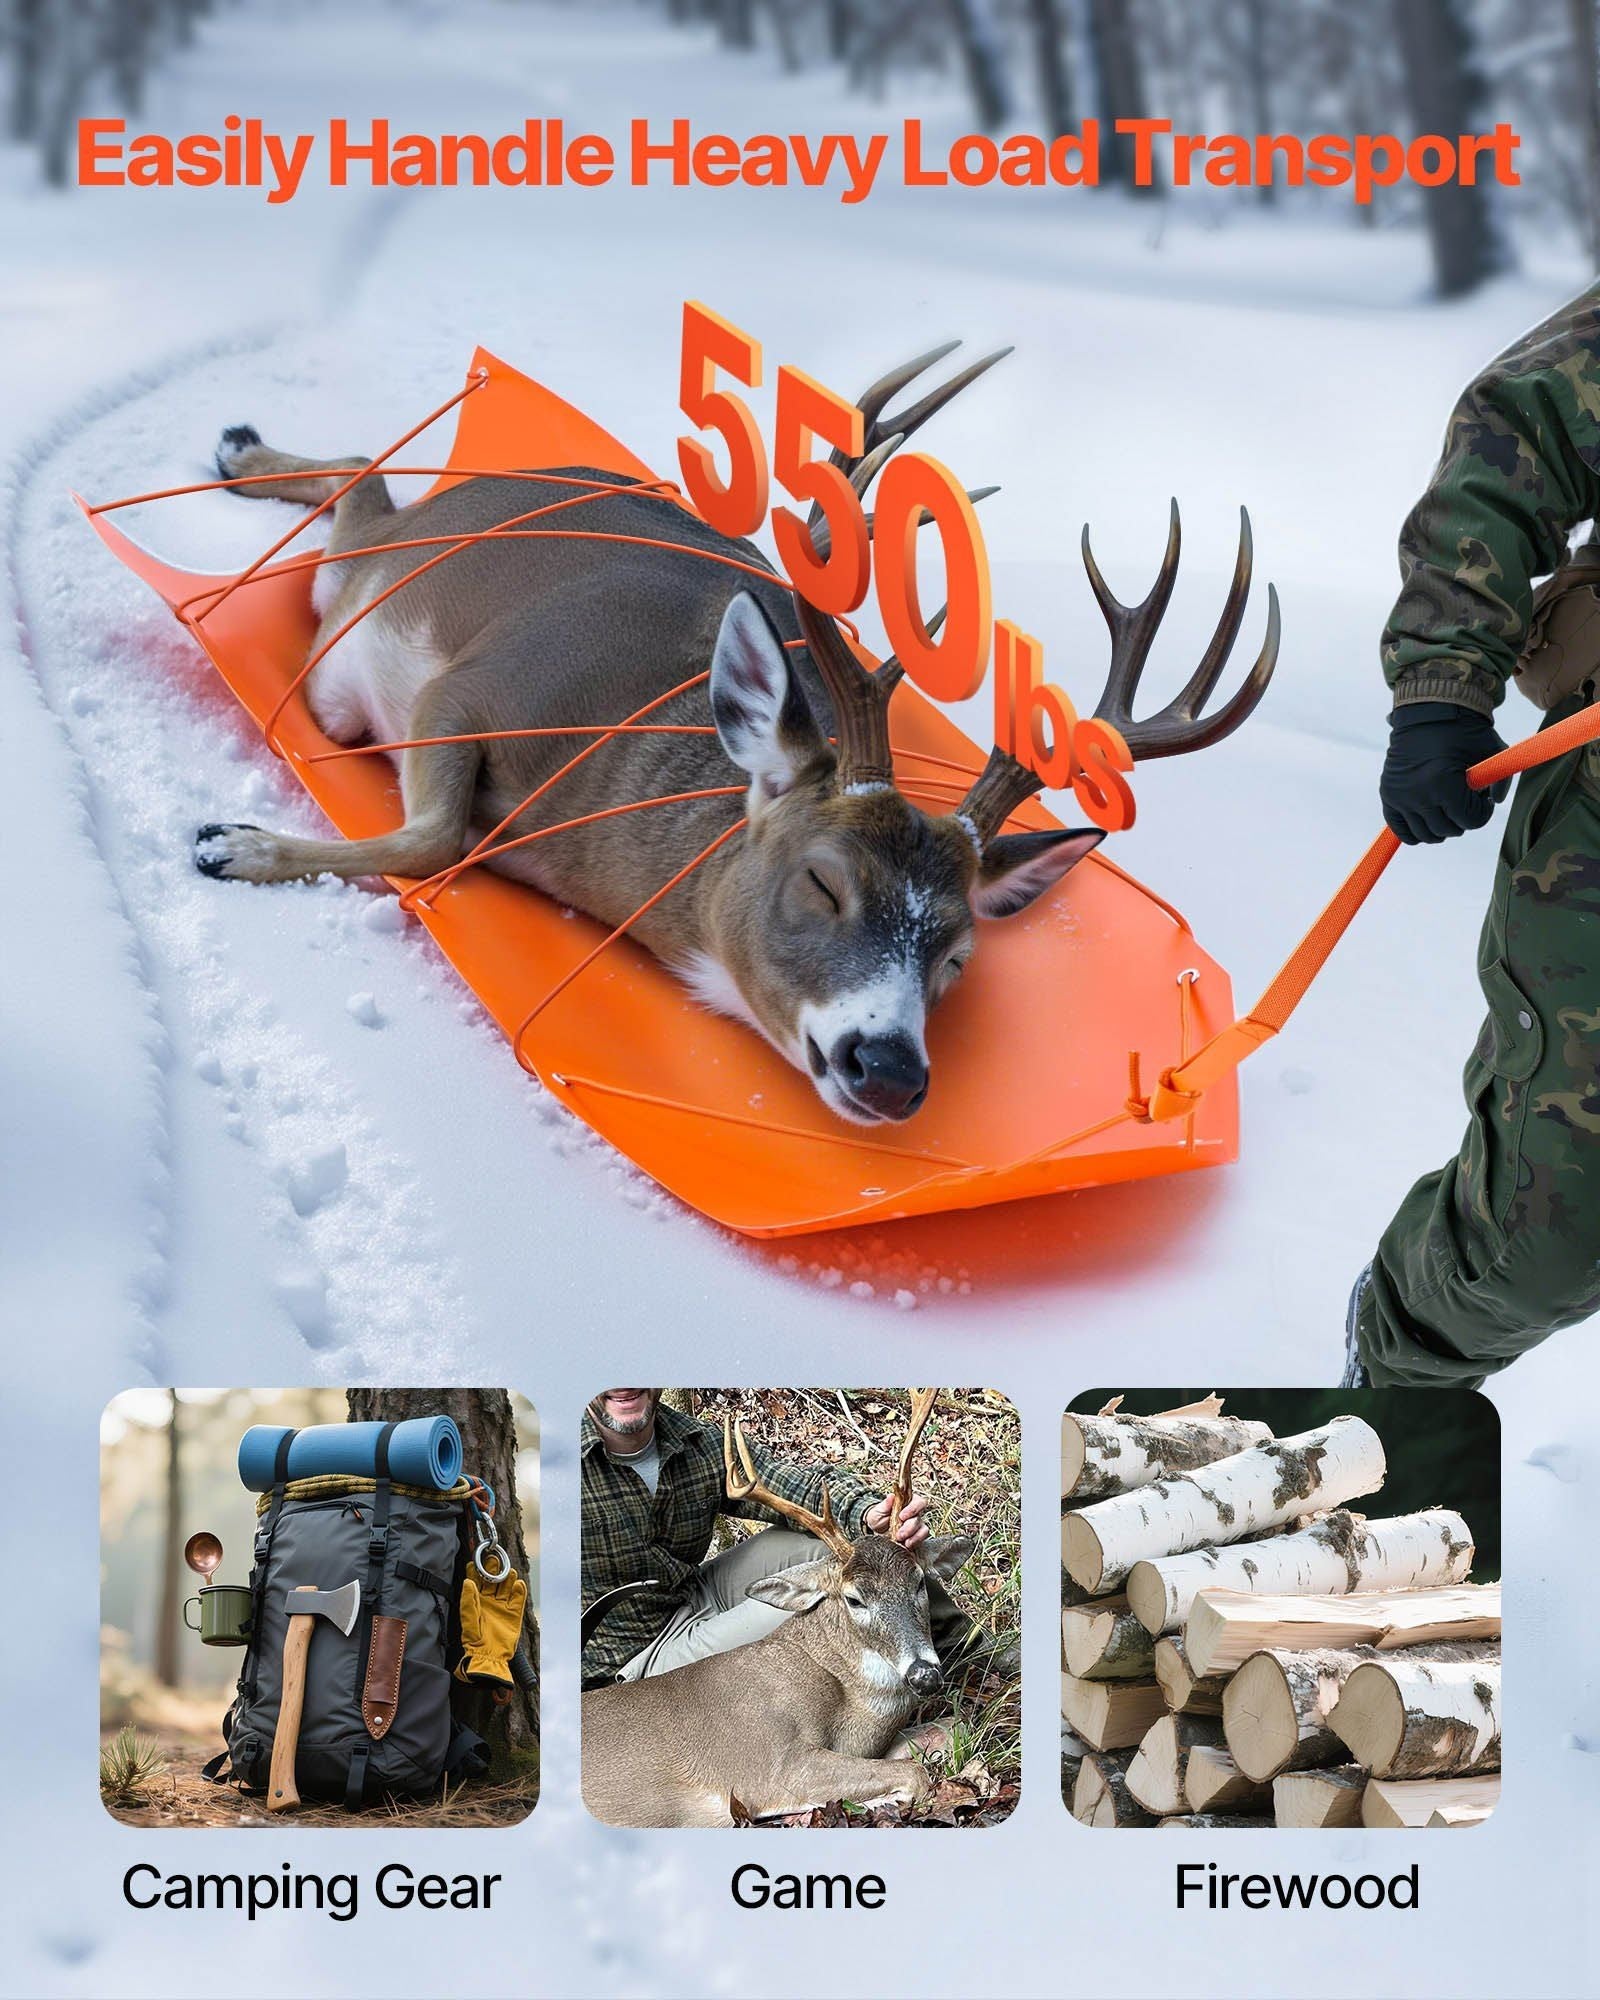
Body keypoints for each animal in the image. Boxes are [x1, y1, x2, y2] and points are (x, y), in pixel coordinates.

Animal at [196, 344, 1279, 1124]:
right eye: (823, 881)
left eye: (958, 954)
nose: (888, 1069)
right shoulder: (472, 687)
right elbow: (433, 838)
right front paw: (234, 846)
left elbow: (433, 837)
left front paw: (241, 845)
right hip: (373, 599)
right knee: (362, 483)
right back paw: (240, 448)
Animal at [580, 1389, 976, 1827]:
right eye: (854, 1598)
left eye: (919, 1581)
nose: (924, 1675)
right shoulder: (771, 1764)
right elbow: (915, 1773)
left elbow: (955, 1726)